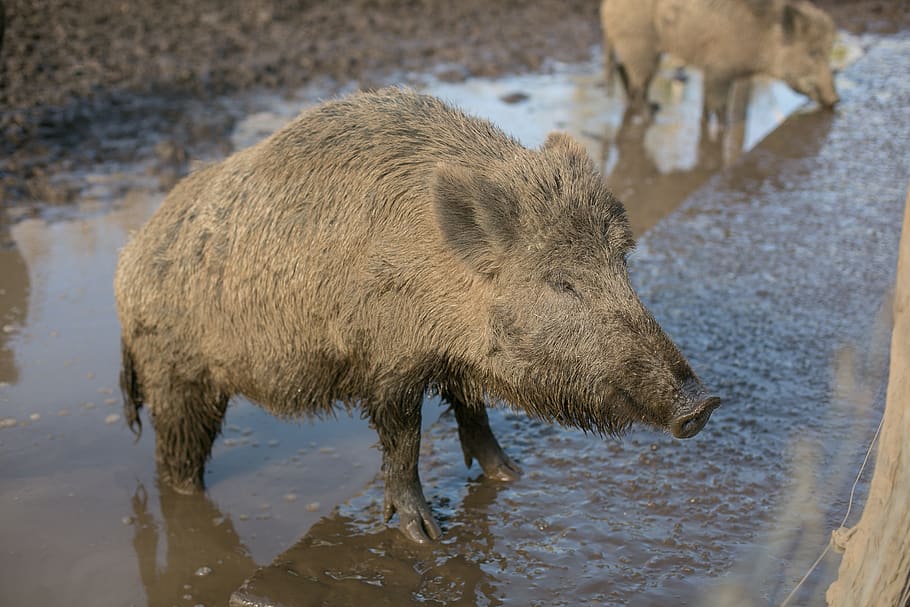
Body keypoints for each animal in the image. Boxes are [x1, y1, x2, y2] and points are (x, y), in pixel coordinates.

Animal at [114, 87, 720, 543]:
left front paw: (511, 475)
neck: (442, 279)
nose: (703, 404)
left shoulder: (456, 357)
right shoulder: (388, 364)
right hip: (177, 377)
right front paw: (427, 535)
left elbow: (473, 411)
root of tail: (126, 266)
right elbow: (405, 442)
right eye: (562, 282)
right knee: (174, 461)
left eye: (622, 262)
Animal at [600, 0, 839, 120]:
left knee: (624, 71)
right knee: (637, 81)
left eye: (829, 51)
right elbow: (719, 107)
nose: (835, 100)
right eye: (813, 52)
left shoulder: (711, 71)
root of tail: (605, 8)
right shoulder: (720, 71)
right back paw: (650, 113)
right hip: (640, 47)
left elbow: (708, 105)